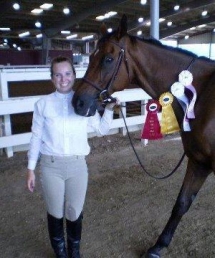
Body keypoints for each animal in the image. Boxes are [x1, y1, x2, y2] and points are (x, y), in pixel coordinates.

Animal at [72, 15, 215, 258]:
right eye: (90, 56)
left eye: (108, 59)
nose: (78, 102)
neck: (204, 94)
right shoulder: (199, 162)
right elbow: (182, 203)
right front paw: (158, 245)